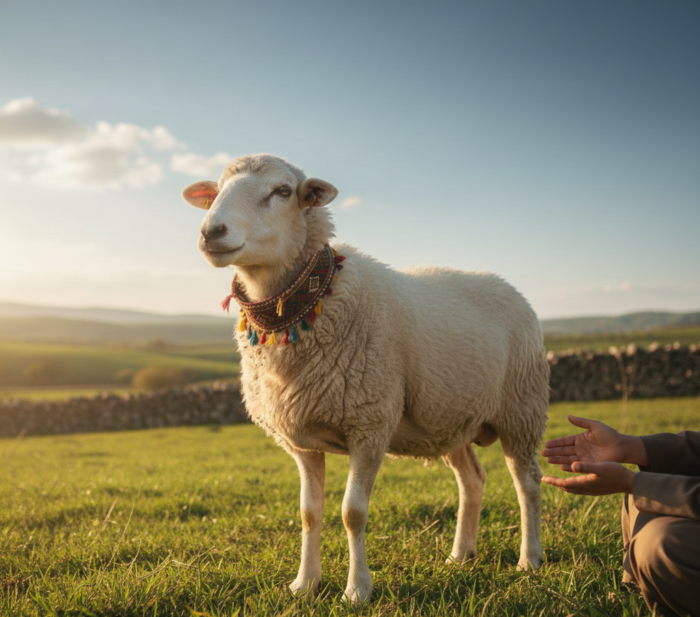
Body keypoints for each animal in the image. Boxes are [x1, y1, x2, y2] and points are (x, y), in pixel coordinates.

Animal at [181, 153, 549, 604]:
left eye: (283, 191)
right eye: (215, 191)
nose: (211, 232)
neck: (310, 303)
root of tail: (511, 288)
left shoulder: (370, 426)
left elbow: (352, 513)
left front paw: (357, 589)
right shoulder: (303, 442)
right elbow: (309, 513)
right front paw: (305, 584)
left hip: (521, 409)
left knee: (527, 483)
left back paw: (529, 559)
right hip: (452, 417)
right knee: (472, 480)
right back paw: (460, 555)